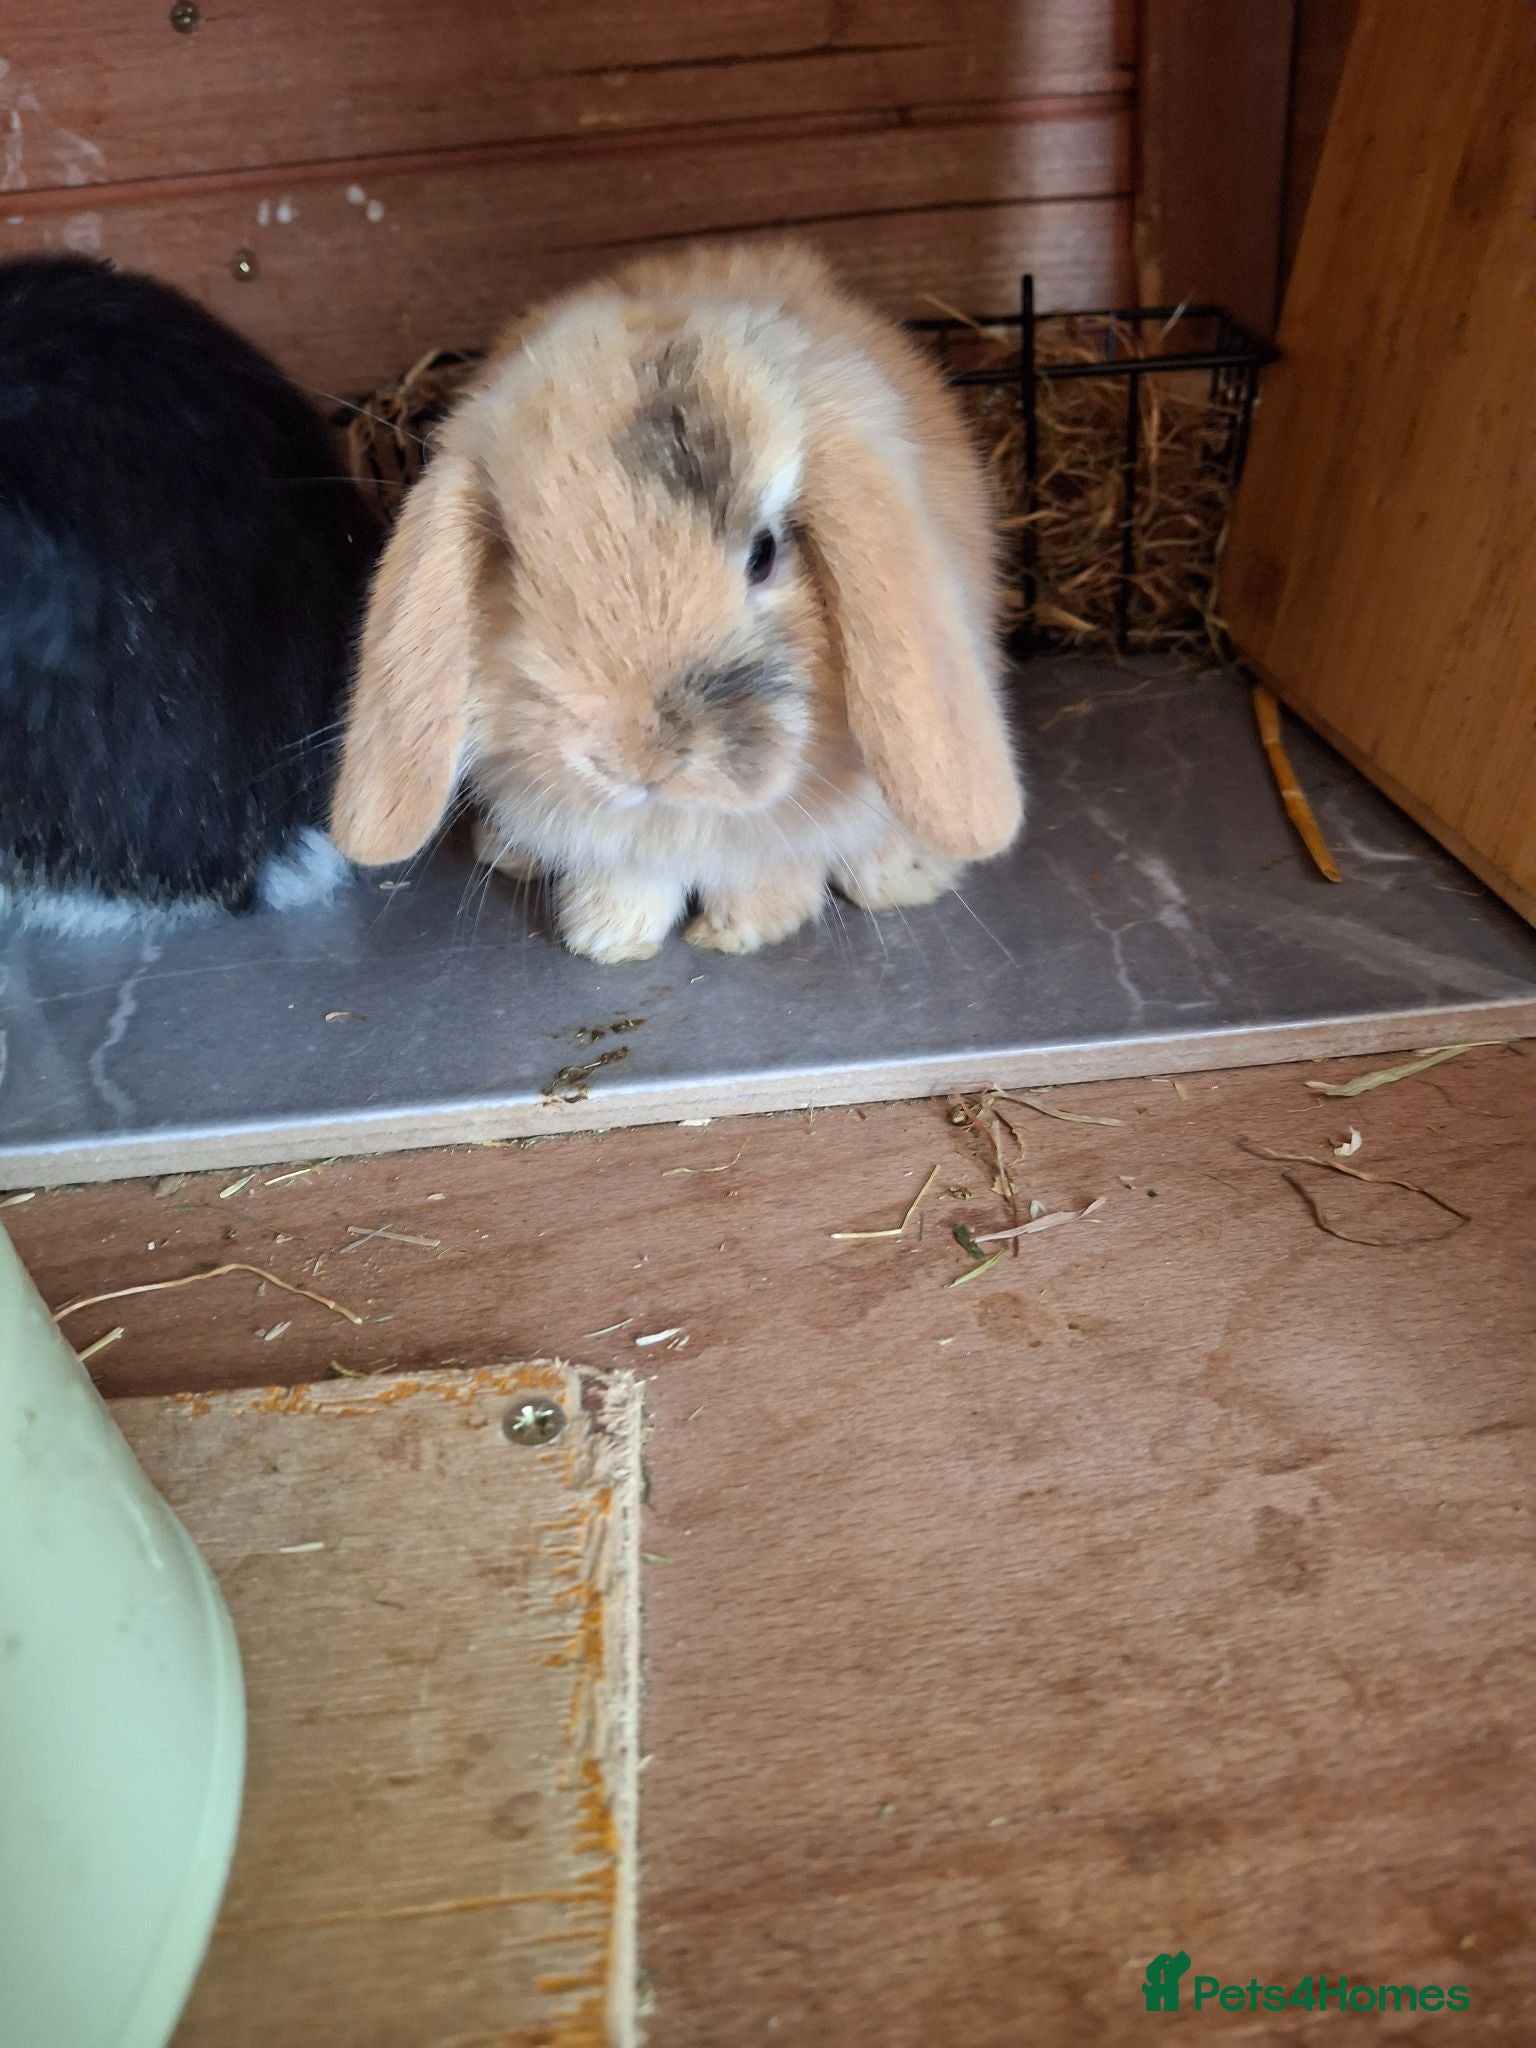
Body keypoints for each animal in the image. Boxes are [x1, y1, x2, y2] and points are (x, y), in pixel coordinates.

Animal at [330, 238, 1023, 961]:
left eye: (764, 553)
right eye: (517, 561)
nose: (631, 761)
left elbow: (770, 879)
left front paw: (733, 933)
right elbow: (631, 882)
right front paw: (606, 938)